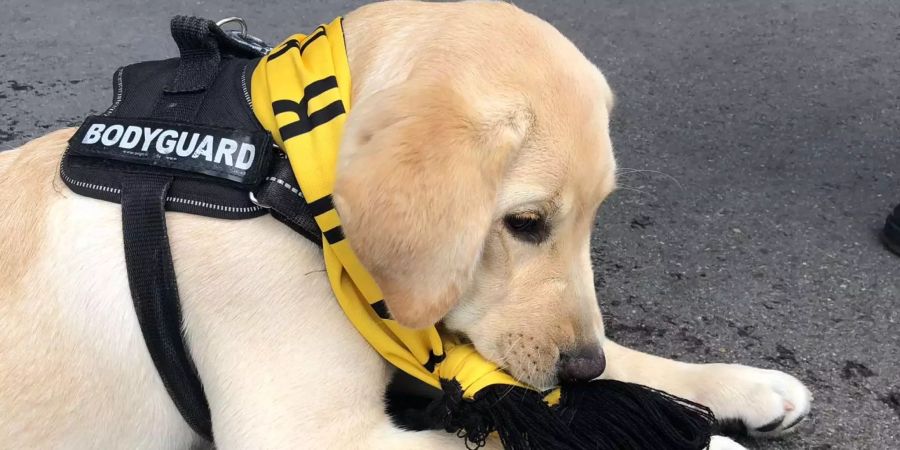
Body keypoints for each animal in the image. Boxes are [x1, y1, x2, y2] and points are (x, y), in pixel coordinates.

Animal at [0, 0, 808, 450]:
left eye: (593, 218)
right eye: (526, 222)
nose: (579, 369)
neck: (289, 180)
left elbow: (622, 364)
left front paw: (741, 386)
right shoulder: (310, 436)